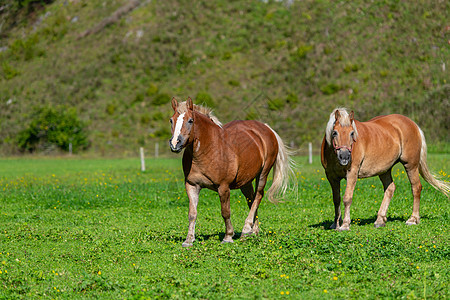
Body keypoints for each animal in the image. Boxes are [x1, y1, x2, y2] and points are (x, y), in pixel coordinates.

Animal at [171, 97, 294, 247]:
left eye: (190, 120)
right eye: (171, 120)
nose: (175, 143)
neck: (208, 149)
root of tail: (267, 128)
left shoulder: (223, 187)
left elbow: (225, 212)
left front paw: (228, 236)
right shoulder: (192, 185)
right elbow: (192, 213)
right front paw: (189, 240)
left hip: (262, 174)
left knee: (258, 197)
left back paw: (246, 229)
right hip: (246, 182)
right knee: (251, 200)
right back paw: (253, 231)